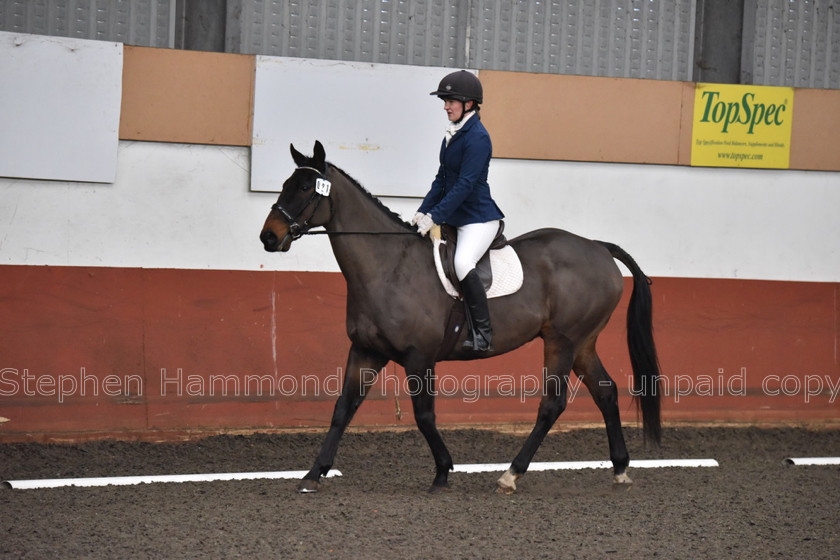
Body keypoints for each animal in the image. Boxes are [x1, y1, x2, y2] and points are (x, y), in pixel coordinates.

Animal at [260, 141, 660, 494]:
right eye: (285, 185)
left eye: (306, 189)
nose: (269, 237)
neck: (388, 267)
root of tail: (598, 248)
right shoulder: (365, 351)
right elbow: (343, 409)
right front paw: (313, 474)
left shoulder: (420, 357)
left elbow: (424, 416)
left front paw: (442, 472)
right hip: (582, 344)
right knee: (606, 392)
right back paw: (620, 470)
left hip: (562, 342)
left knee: (552, 404)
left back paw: (510, 475)